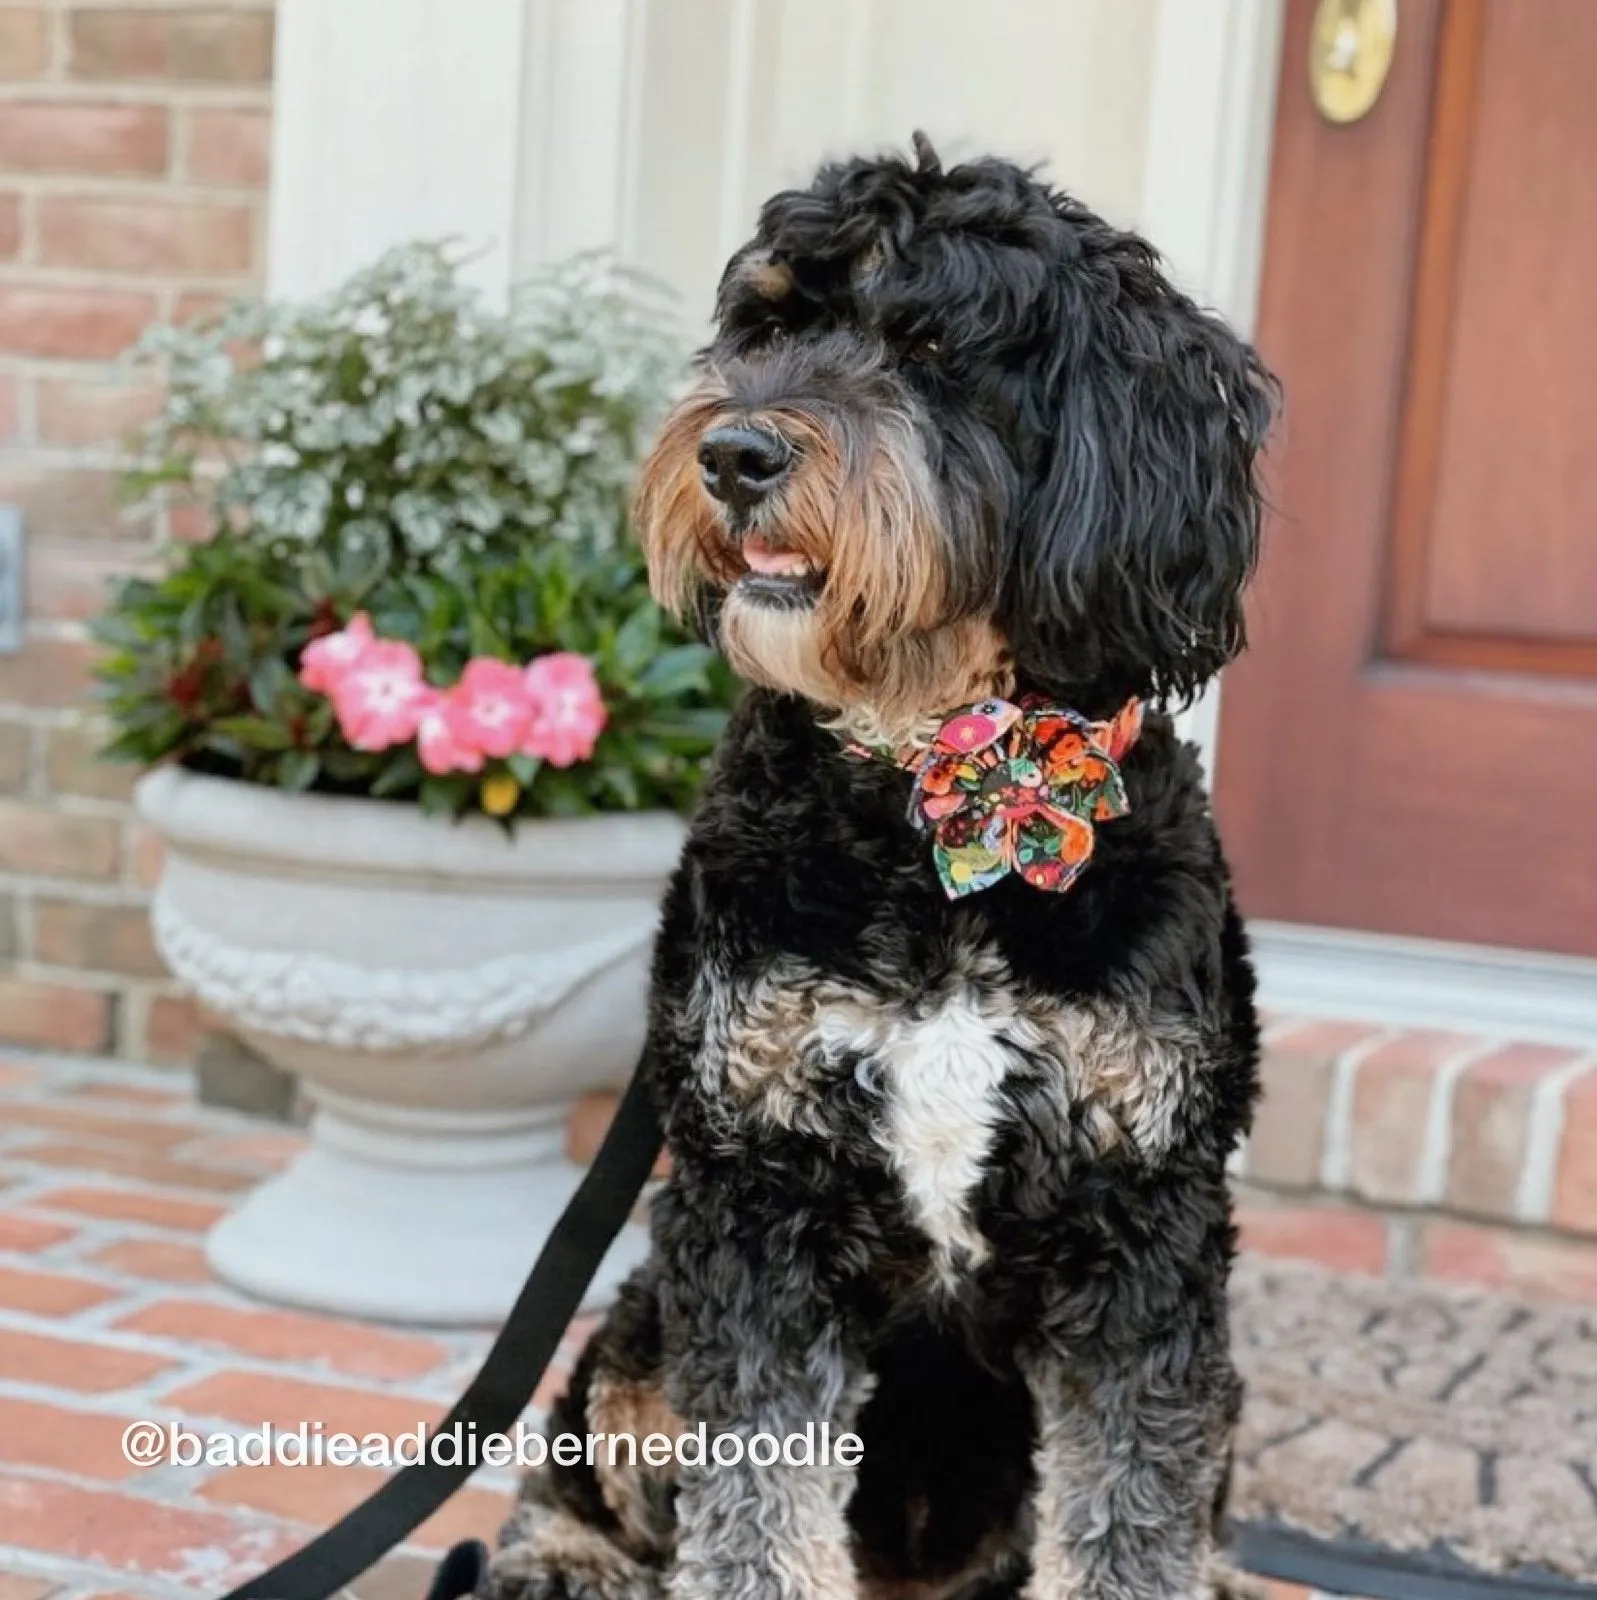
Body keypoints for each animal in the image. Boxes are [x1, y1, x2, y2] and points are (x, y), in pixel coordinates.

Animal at [483, 131, 1273, 1600]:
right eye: (767, 327)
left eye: (934, 347)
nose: (732, 450)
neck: (942, 806)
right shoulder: (751, 1193)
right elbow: (751, 1504)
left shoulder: (1144, 1221)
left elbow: (1135, 1503)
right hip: (646, 1305)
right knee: (590, 1449)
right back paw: (559, 1557)